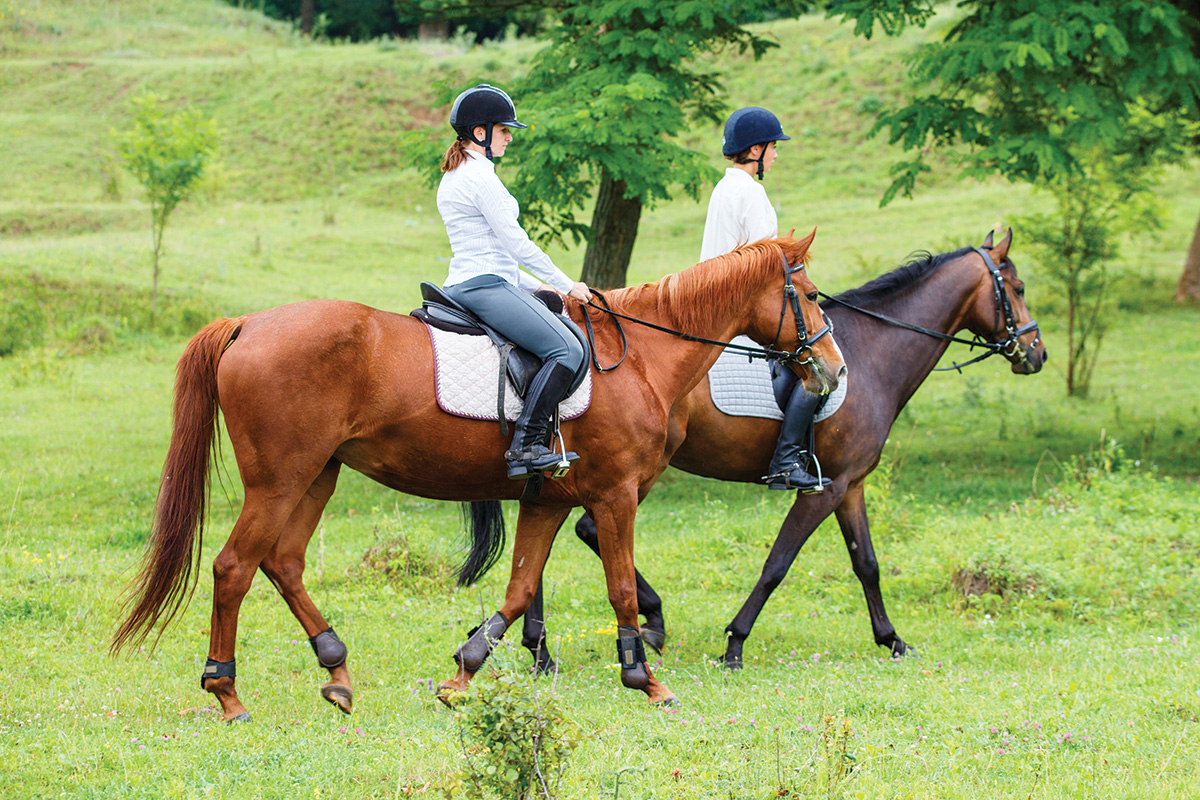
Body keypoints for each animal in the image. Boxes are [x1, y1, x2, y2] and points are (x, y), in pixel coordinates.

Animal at [110, 231, 844, 719]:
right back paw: (226, 689)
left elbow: (519, 590)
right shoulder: (615, 496)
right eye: (808, 295)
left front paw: (462, 674)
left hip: (318, 475)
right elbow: (619, 591)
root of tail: (248, 324)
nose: (832, 372)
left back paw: (337, 669)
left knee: (282, 562)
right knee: (234, 567)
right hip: (280, 479)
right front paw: (645, 678)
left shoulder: (551, 500)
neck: (637, 358)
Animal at [520, 230, 1046, 671]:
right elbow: (778, 563)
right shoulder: (824, 489)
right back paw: (617, 629)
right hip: (632, 471)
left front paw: (892, 639)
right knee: (582, 531)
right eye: (1018, 288)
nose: (1036, 353)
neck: (873, 354)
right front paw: (735, 642)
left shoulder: (850, 485)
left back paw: (541, 645)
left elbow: (867, 564)